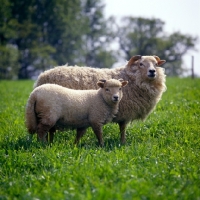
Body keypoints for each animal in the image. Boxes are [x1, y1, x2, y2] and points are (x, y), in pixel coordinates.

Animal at [34, 54, 167, 144]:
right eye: (141, 64)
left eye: (156, 64)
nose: (152, 71)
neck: (132, 78)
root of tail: (42, 76)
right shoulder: (125, 113)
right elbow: (123, 129)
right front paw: (123, 142)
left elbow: (122, 128)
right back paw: (46, 143)